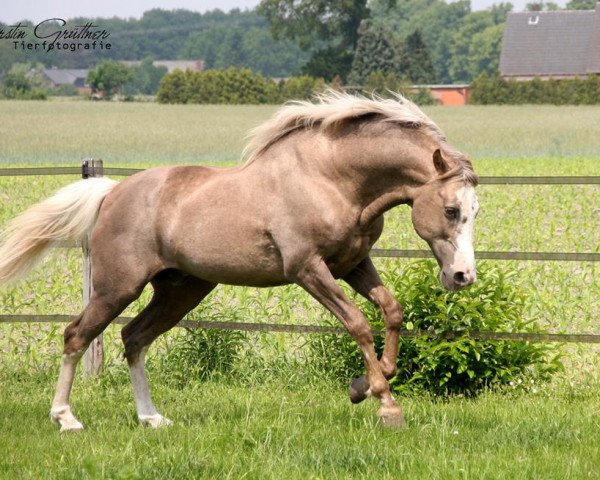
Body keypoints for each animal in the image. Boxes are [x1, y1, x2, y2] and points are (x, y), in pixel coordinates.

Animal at [0, 91, 478, 432]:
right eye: (451, 209)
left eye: (476, 210)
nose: (462, 276)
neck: (332, 179)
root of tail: (112, 192)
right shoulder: (307, 268)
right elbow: (359, 323)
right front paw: (384, 404)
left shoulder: (351, 264)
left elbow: (392, 311)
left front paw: (361, 387)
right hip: (117, 286)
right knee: (76, 336)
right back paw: (66, 418)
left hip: (181, 291)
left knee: (133, 338)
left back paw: (151, 418)